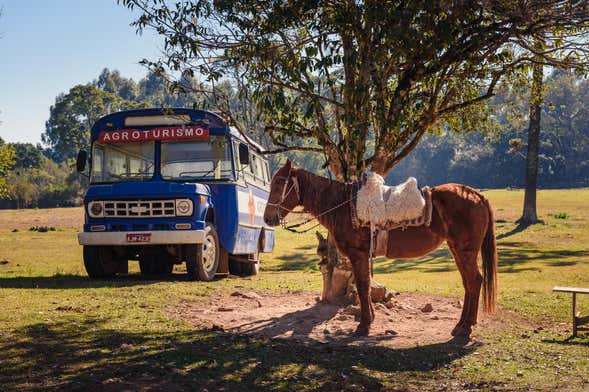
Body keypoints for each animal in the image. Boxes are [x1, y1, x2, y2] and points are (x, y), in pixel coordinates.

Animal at [264, 159, 498, 336]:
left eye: (279, 183)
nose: (267, 218)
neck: (342, 206)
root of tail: (476, 195)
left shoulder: (358, 254)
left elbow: (362, 286)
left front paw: (364, 325)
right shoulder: (362, 256)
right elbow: (365, 285)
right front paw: (369, 319)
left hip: (465, 250)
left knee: (474, 281)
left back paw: (465, 327)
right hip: (457, 249)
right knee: (469, 283)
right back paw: (462, 324)